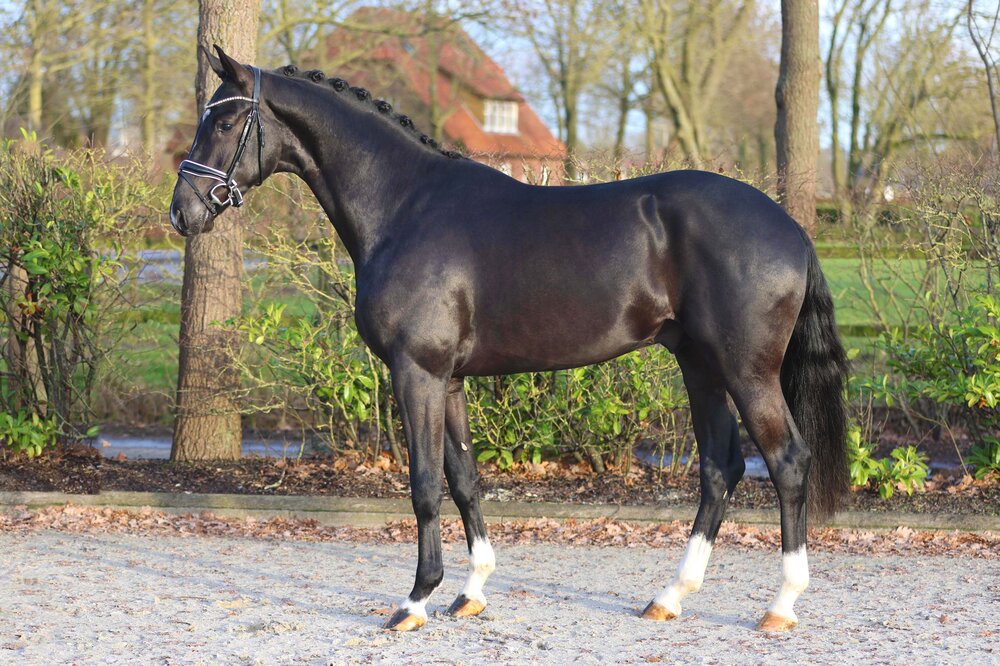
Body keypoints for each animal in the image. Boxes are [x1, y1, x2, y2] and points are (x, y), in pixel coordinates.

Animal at [169, 46, 849, 633]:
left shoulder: (416, 372)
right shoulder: (449, 382)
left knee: (787, 461)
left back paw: (781, 605)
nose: (183, 212)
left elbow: (423, 484)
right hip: (700, 366)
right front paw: (470, 593)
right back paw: (670, 597)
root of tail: (791, 227)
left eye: (225, 119)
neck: (405, 206)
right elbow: (464, 479)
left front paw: (414, 600)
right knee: (720, 467)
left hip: (746, 371)